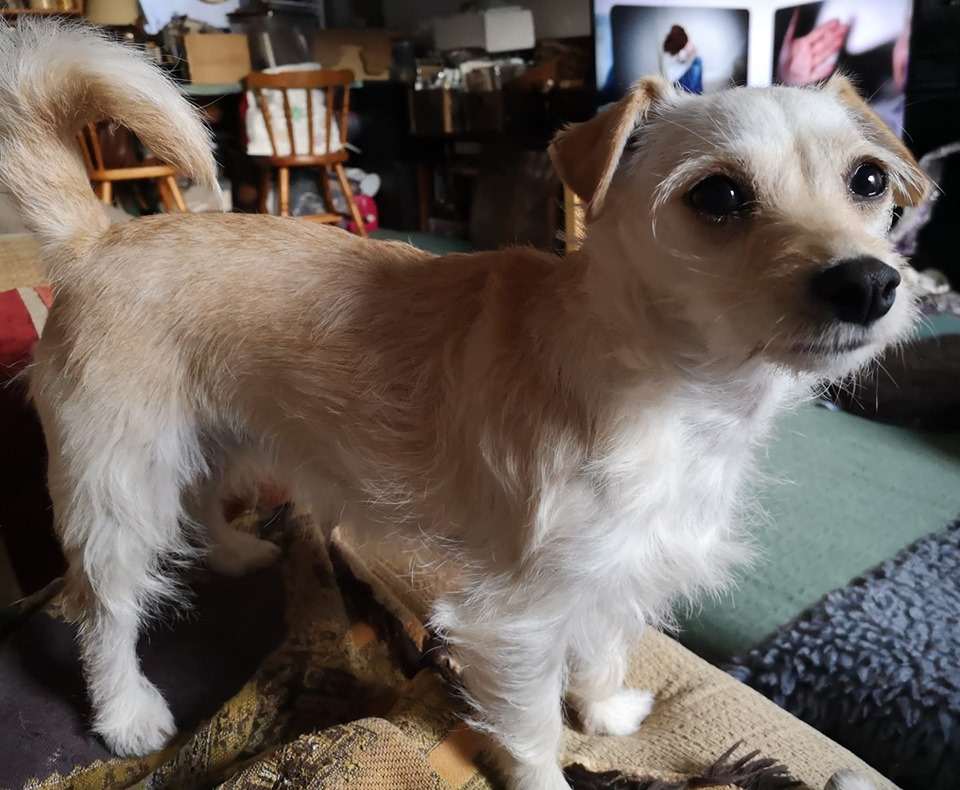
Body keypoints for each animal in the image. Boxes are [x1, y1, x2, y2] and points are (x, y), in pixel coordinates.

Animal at [0, 21, 924, 790]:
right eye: (720, 197)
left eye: (870, 179)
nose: (870, 283)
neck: (675, 388)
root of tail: (101, 235)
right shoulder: (513, 622)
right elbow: (533, 731)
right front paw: (556, 768)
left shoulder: (612, 568)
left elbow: (601, 644)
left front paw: (605, 710)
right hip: (118, 485)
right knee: (104, 608)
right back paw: (126, 712)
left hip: (218, 437)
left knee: (199, 503)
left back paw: (233, 552)